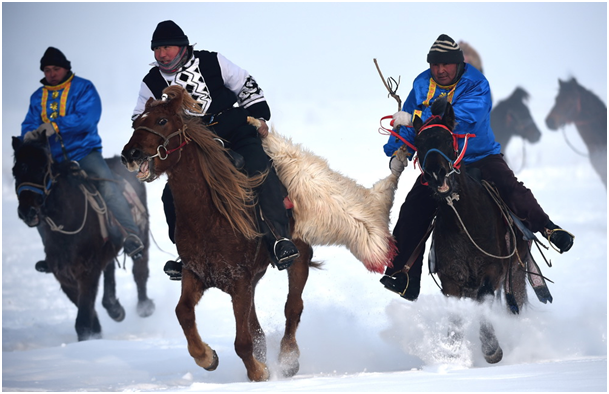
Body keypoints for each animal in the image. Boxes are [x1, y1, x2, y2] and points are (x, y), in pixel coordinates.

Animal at [11, 135, 153, 342]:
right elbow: (87, 314)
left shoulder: (87, 273)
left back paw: (144, 307)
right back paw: (114, 307)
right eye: (15, 171)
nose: (27, 211)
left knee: (139, 271)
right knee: (109, 267)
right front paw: (96, 334)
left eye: (42, 169)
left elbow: (83, 321)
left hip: (142, 233)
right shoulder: (64, 277)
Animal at [119, 86, 320, 382]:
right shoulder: (197, 275)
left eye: (162, 121)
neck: (208, 218)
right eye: (135, 124)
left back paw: (288, 359)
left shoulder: (239, 280)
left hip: (298, 258)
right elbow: (183, 312)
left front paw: (259, 372)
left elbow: (243, 341)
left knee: (292, 307)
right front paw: (206, 356)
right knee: (258, 327)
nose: (130, 154)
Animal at [410, 98, 528, 364]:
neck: (465, 221)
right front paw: (452, 352)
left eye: (448, 139)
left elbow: (484, 298)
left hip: (517, 270)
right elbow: (456, 314)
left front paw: (491, 349)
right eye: (419, 145)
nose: (437, 174)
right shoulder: (451, 278)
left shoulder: (493, 268)